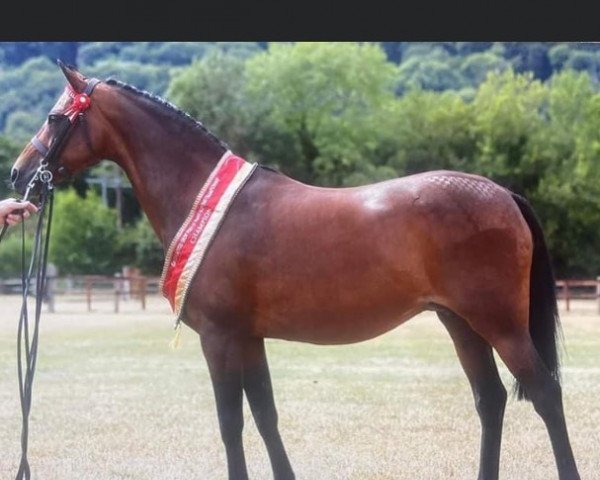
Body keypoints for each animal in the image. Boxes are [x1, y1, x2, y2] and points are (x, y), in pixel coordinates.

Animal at [10, 63, 580, 480]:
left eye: (56, 118)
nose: (19, 175)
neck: (206, 199)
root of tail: (501, 193)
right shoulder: (248, 338)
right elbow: (265, 415)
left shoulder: (219, 337)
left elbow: (231, 422)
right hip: (459, 322)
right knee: (491, 399)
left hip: (499, 323)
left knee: (545, 394)